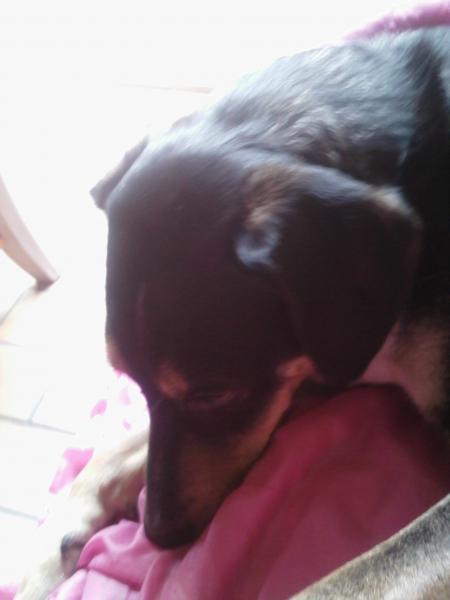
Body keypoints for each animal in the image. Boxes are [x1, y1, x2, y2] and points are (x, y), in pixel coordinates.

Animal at [17, 26, 450, 598]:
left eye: (214, 393)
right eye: (131, 381)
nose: (157, 533)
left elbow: (349, 578)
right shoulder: (316, 362)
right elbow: (116, 449)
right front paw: (49, 546)